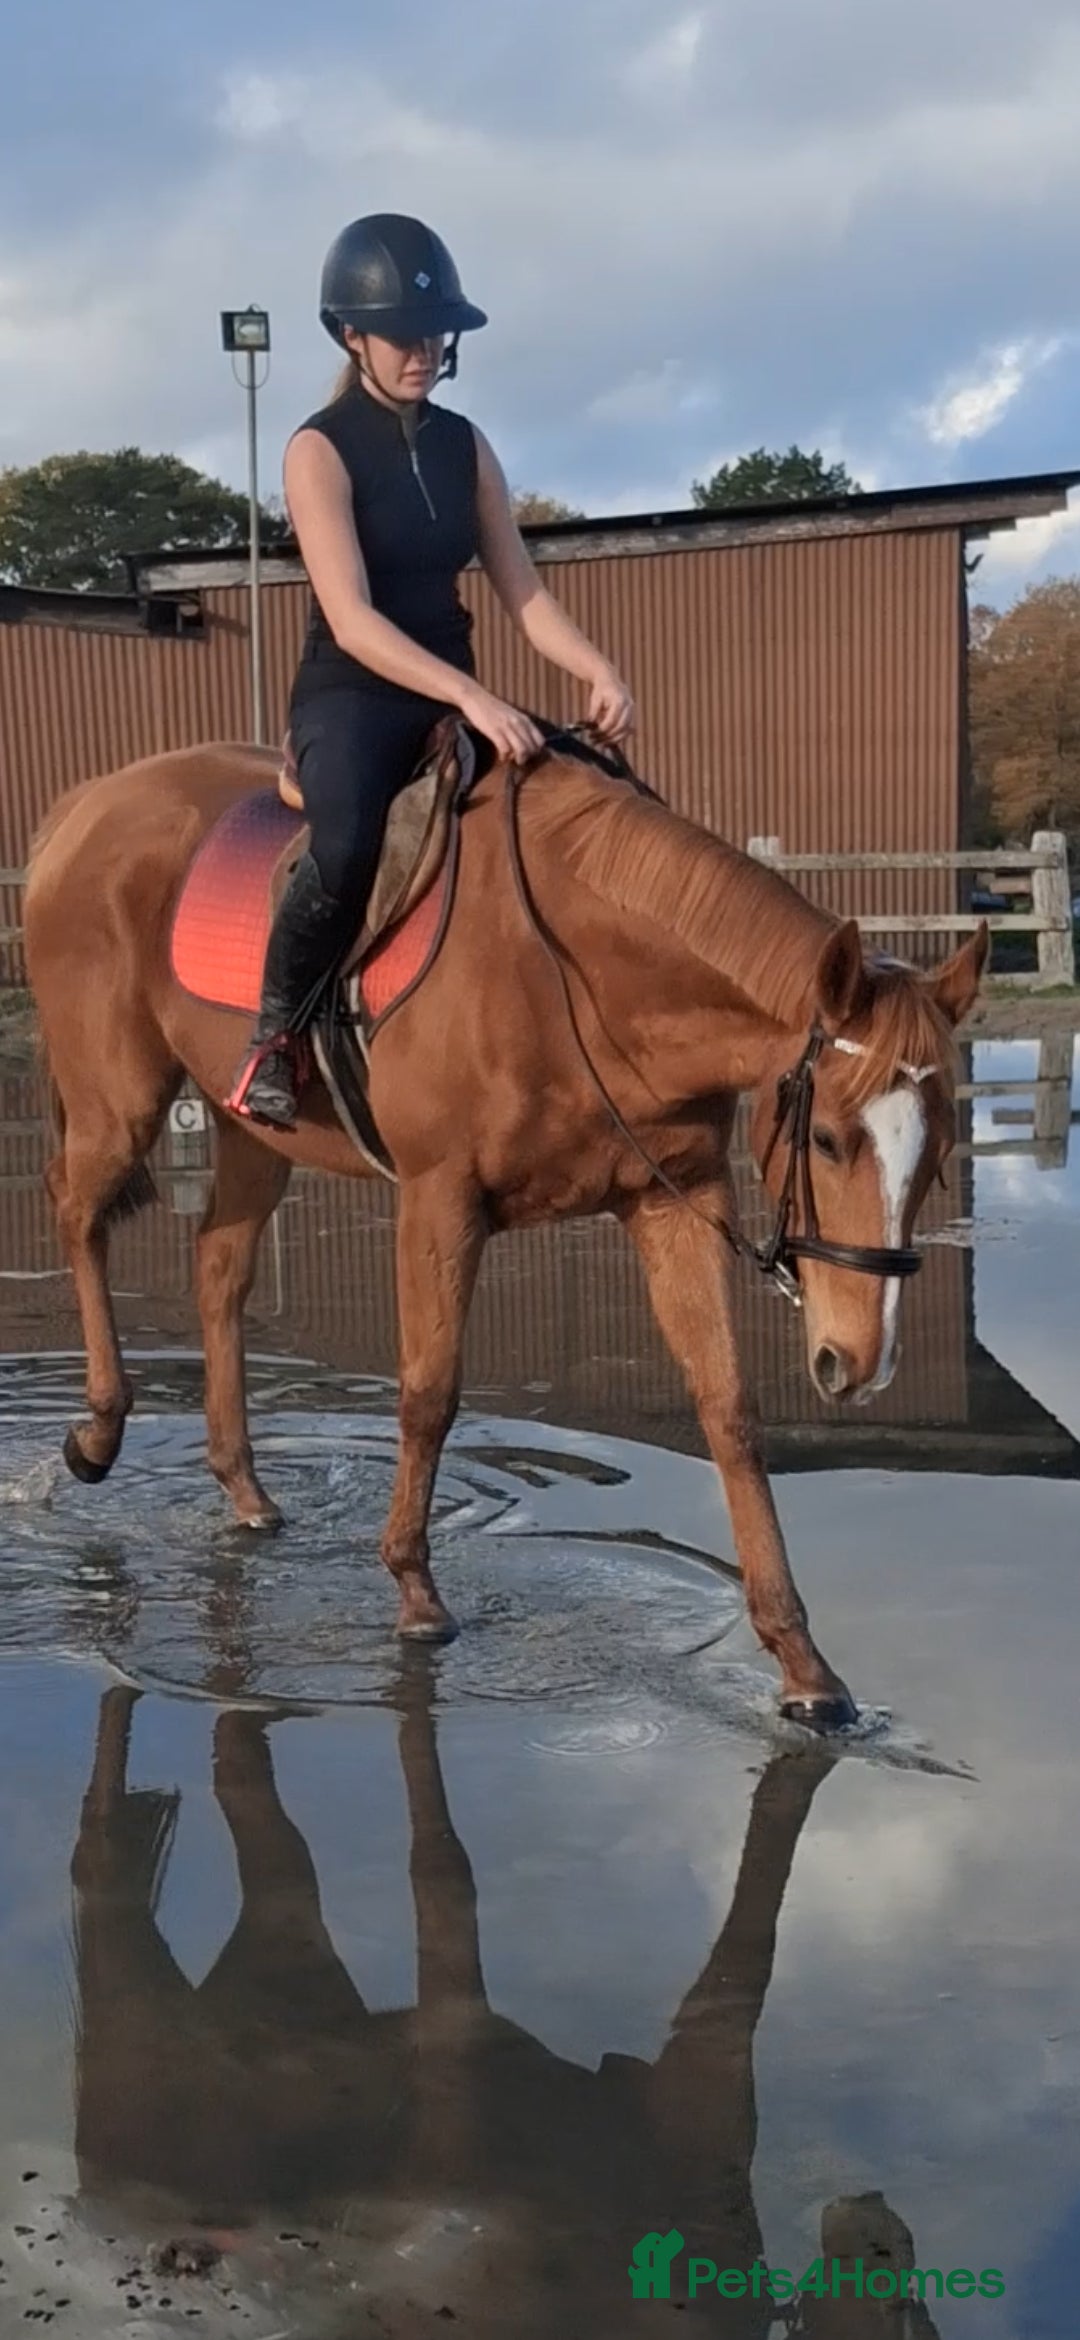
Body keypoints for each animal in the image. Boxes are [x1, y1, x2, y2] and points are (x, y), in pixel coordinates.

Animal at [22, 734, 987, 1733]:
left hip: (250, 1126)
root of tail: (85, 807)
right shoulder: (440, 1199)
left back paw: (244, 1491)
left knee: (219, 1266)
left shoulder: (672, 1201)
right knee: (75, 1211)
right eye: (830, 1140)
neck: (576, 974)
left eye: (937, 1154)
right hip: (121, 1097)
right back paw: (98, 1433)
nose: (861, 1360)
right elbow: (428, 1394)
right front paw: (415, 1594)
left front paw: (803, 1664)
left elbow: (728, 1411)